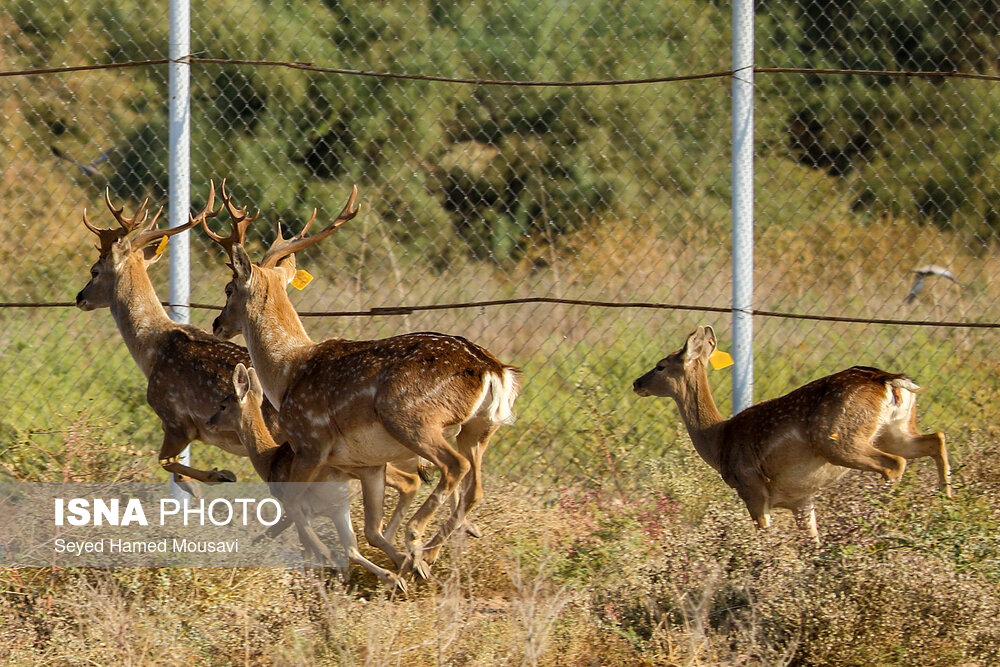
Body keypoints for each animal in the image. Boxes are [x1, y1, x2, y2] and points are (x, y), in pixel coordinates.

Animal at [207, 366, 406, 588]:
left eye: (223, 405)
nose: (208, 422)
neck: (268, 460)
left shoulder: (301, 507)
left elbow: (307, 549)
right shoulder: (334, 509)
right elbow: (346, 549)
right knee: (361, 539)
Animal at [632, 324, 952, 544]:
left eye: (660, 366)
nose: (636, 383)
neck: (719, 439)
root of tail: (888, 380)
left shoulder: (752, 488)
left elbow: (764, 536)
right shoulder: (800, 499)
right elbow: (812, 543)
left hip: (839, 440)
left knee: (895, 464)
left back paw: (886, 522)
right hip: (893, 430)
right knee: (935, 439)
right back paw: (945, 504)